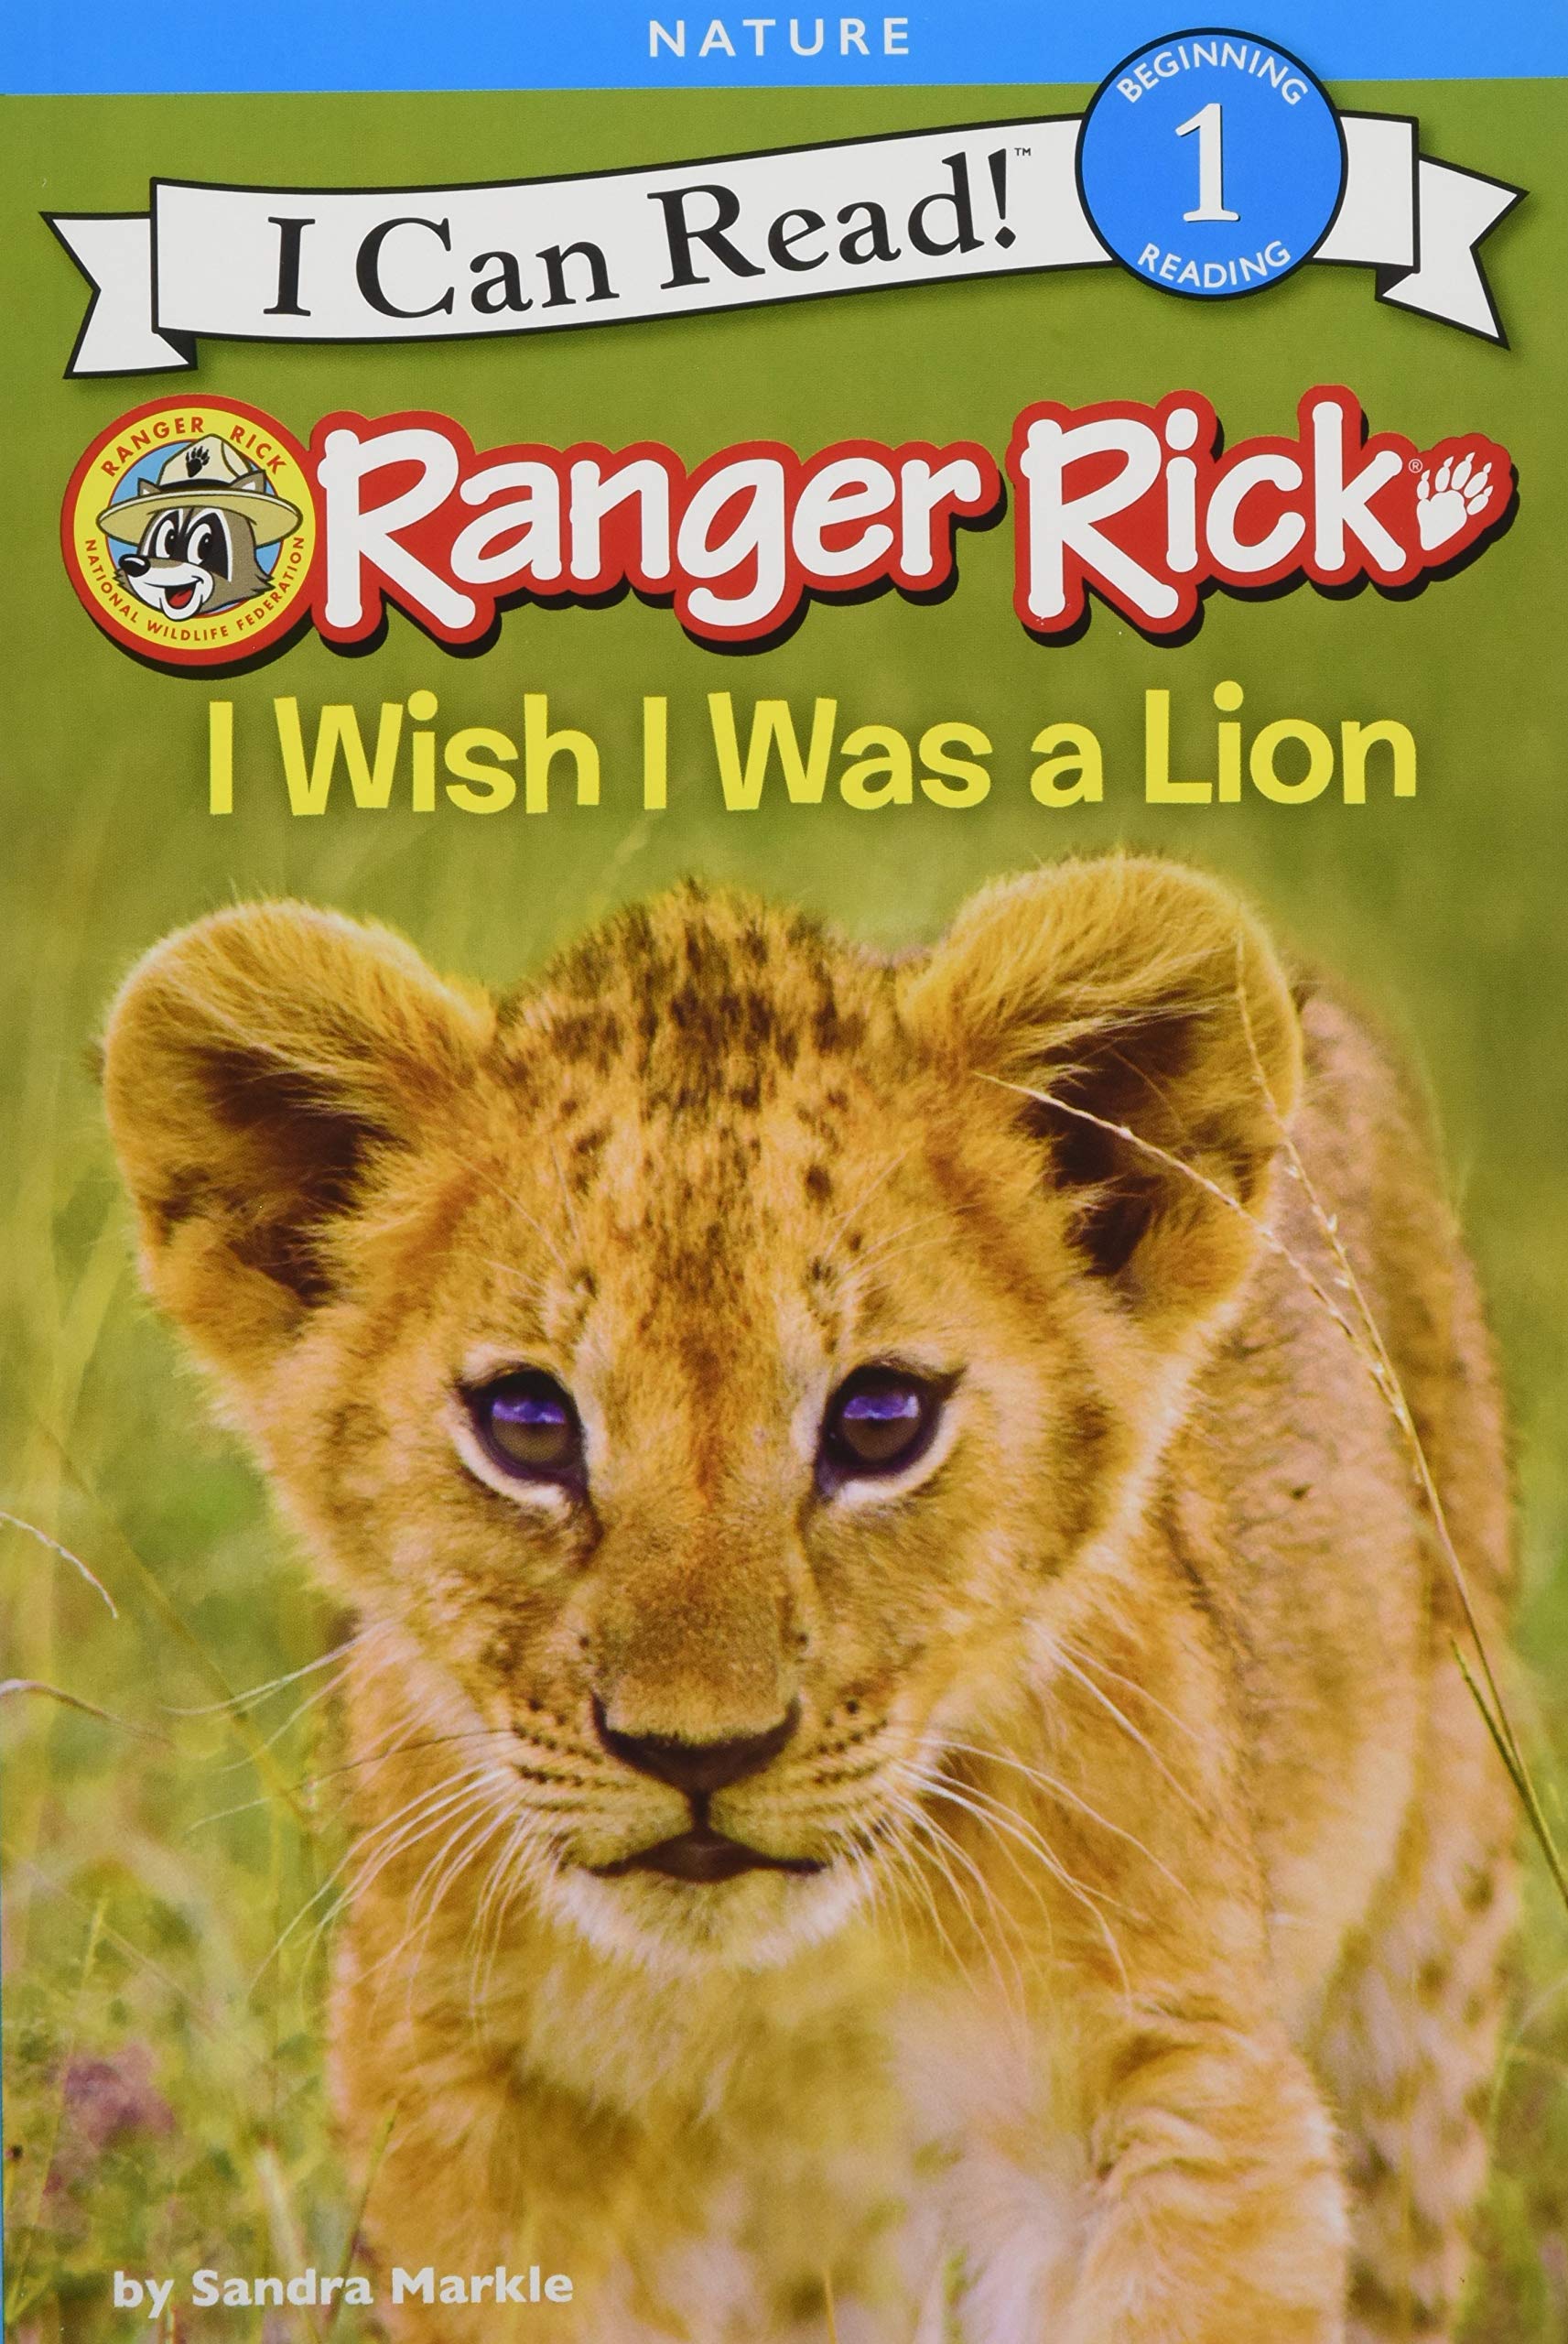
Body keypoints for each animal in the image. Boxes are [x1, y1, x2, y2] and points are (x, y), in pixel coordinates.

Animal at [100, 856, 1516, 2344]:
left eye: (880, 1420)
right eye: (527, 1426)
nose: (697, 1755)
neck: (780, 1999)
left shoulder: (1180, 2087)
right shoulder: (455, 2104)